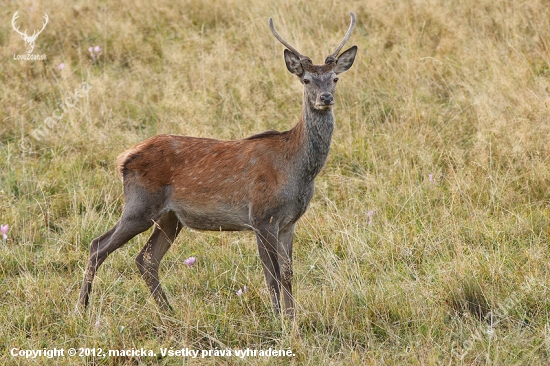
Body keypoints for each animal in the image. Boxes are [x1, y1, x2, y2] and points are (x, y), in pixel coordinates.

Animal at [77, 12, 360, 318]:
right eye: (306, 80)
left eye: (334, 78)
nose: (325, 98)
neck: (297, 171)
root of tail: (124, 157)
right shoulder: (261, 217)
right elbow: (270, 275)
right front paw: (278, 320)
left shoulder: (289, 222)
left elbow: (287, 273)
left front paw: (293, 318)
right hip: (140, 205)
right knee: (98, 245)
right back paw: (81, 309)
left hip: (170, 217)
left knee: (146, 258)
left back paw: (169, 313)